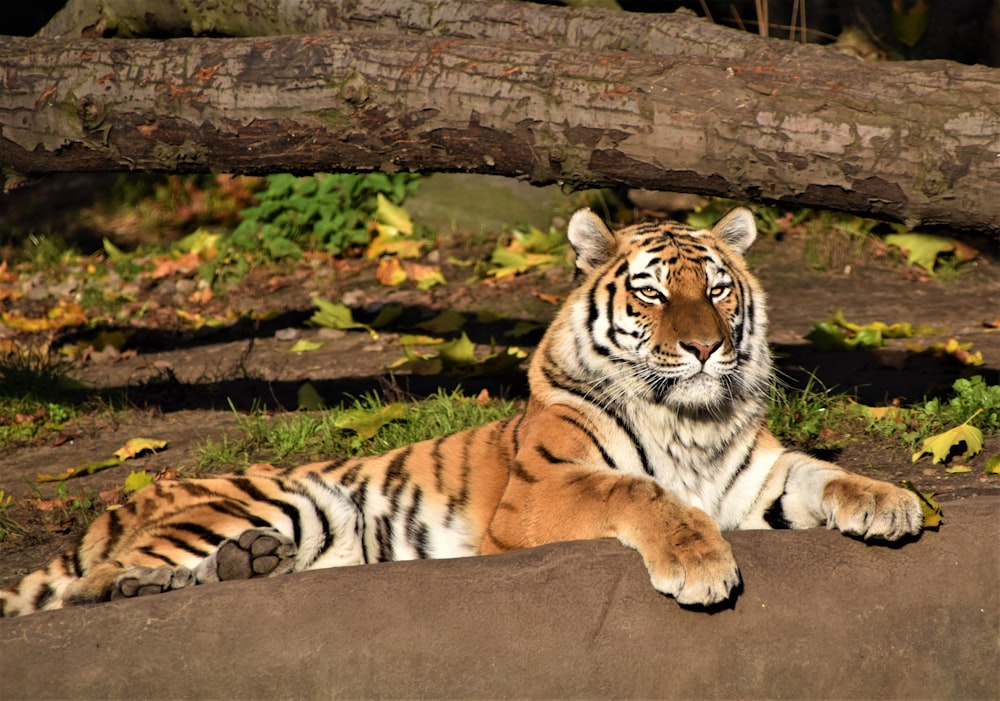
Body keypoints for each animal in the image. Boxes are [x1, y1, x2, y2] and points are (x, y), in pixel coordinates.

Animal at [0, 205, 920, 616]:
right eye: (655, 292)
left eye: (718, 290)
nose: (702, 348)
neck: (688, 417)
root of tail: (128, 496)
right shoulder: (541, 491)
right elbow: (639, 491)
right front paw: (700, 563)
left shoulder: (756, 477)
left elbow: (826, 472)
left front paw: (893, 503)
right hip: (276, 497)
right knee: (87, 585)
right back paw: (143, 582)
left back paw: (248, 566)